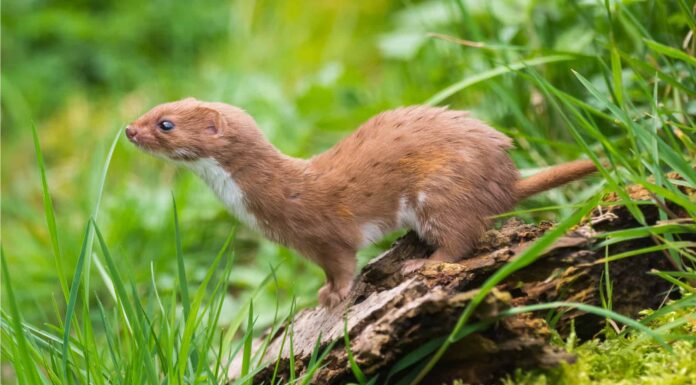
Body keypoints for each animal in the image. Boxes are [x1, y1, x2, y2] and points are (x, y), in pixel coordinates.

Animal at [126, 98, 600, 306]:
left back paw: (422, 262)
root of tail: (507, 179)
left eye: (165, 124)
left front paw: (334, 295)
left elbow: (342, 264)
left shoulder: (325, 233)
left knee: (460, 237)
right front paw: (322, 291)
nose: (129, 130)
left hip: (442, 189)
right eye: (153, 107)